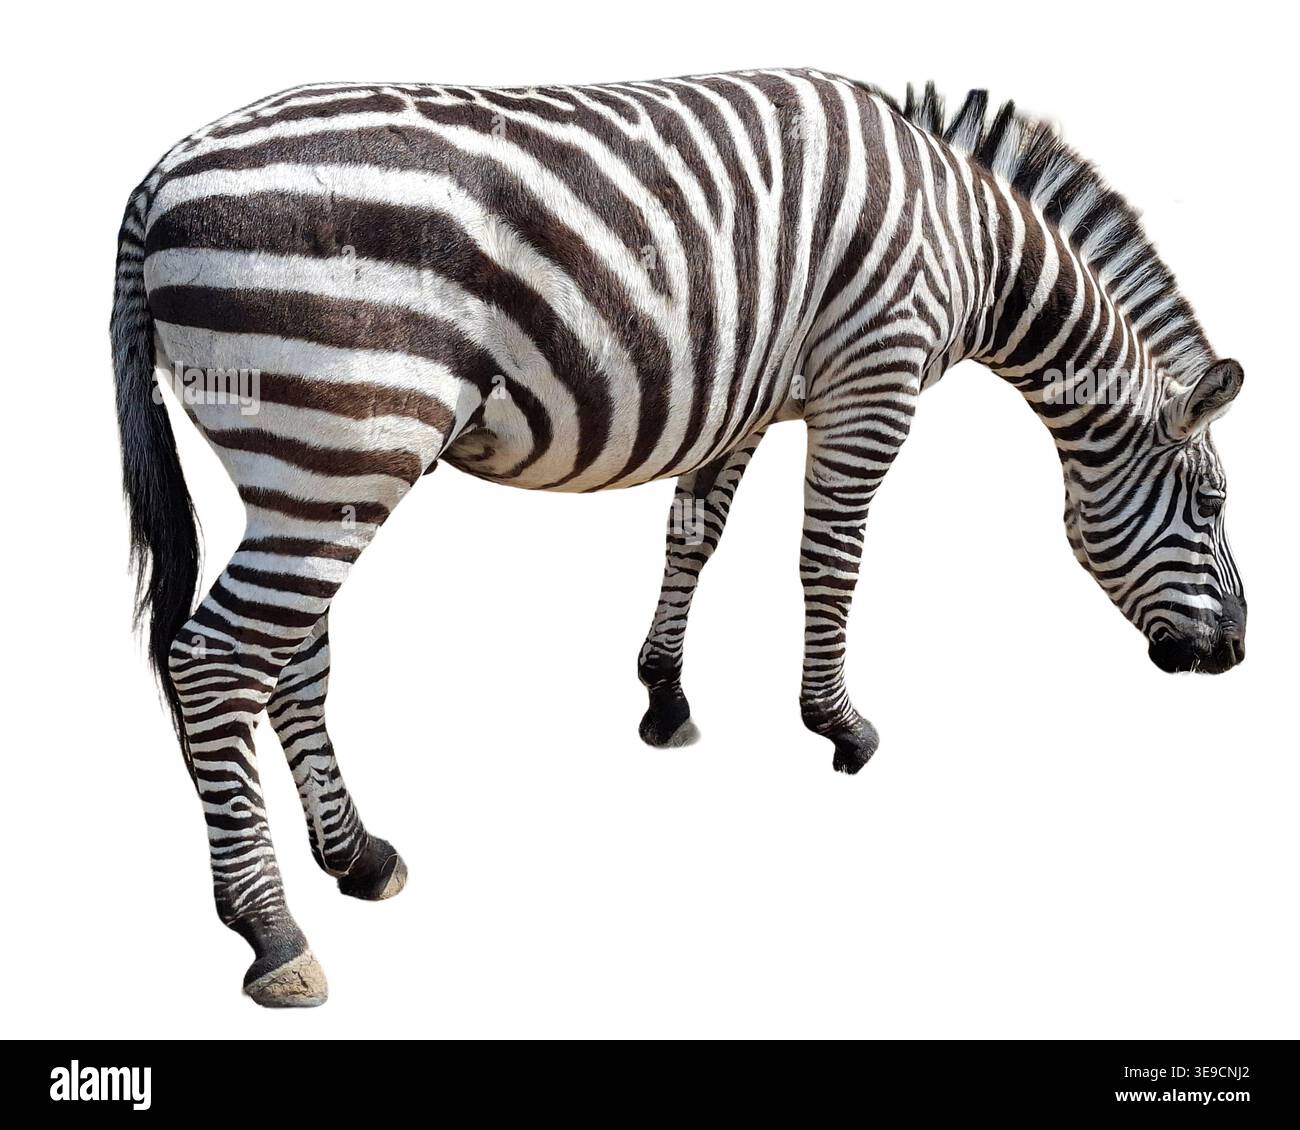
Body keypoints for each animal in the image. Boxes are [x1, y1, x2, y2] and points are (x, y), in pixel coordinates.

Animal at [111, 69, 1246, 1006]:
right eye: (1212, 502)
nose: (1232, 653)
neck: (970, 241)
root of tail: (160, 171)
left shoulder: (745, 398)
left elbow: (694, 535)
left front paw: (665, 695)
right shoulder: (871, 380)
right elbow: (832, 559)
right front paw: (838, 724)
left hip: (302, 465)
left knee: (291, 657)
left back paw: (356, 857)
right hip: (343, 442)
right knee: (214, 661)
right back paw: (270, 931)